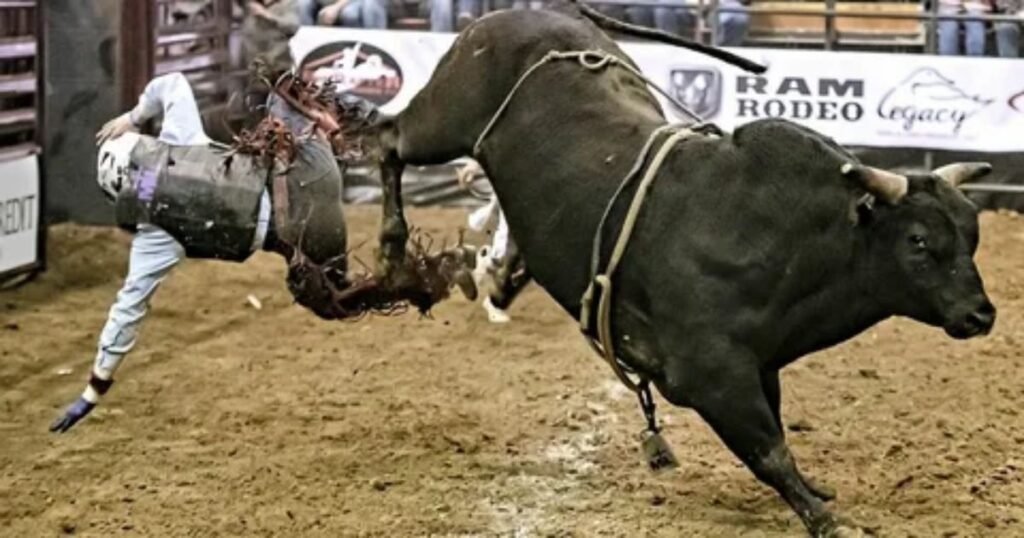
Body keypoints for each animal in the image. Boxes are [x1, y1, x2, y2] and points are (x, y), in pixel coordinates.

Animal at [366, 3, 997, 536]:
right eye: (918, 240)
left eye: (972, 234)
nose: (981, 315)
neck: (775, 236)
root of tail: (525, 13)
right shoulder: (714, 375)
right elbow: (769, 450)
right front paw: (823, 517)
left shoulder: (760, 363)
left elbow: (778, 434)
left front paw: (817, 491)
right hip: (443, 119)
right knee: (388, 139)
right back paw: (394, 253)